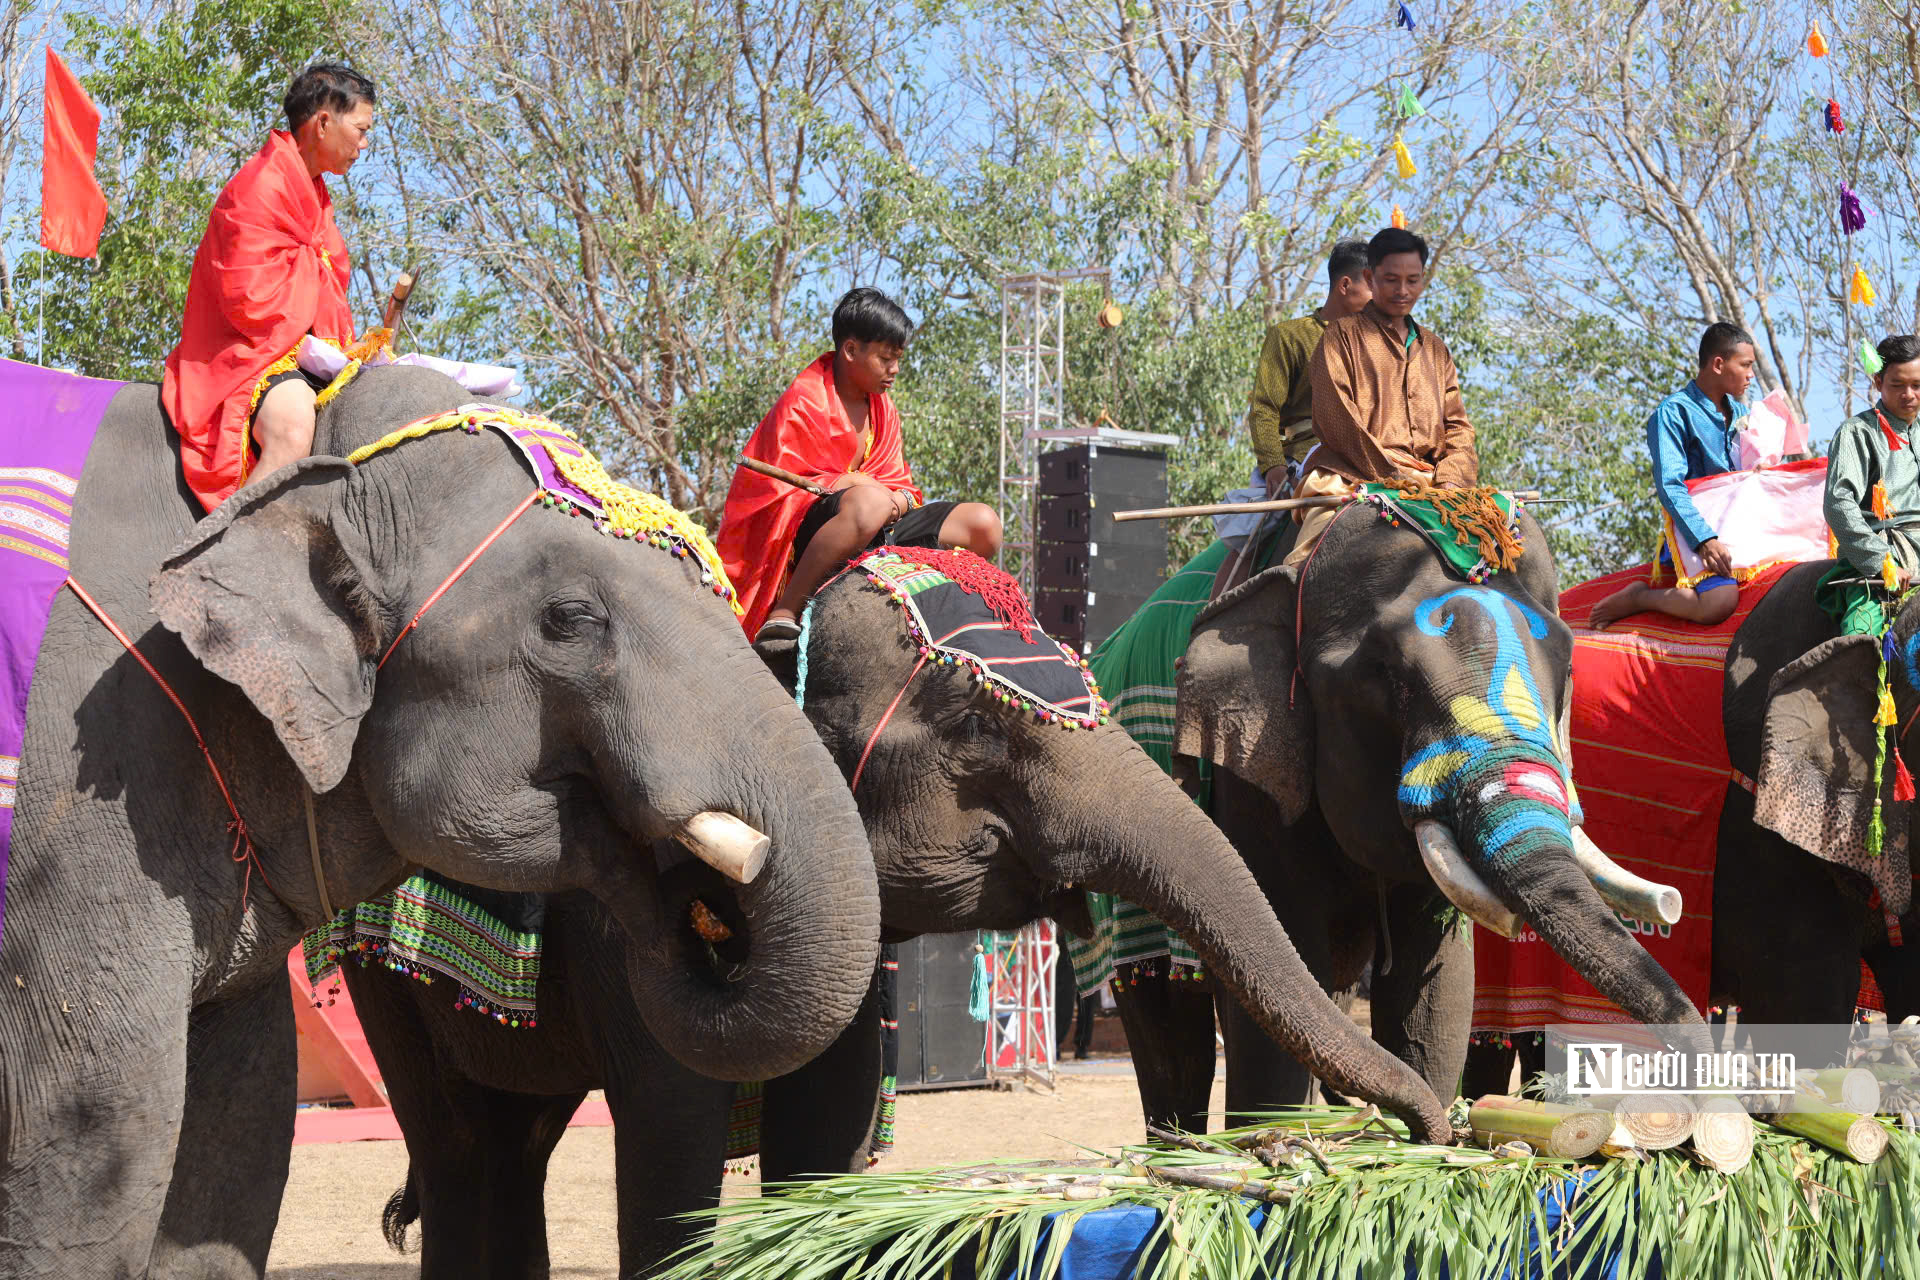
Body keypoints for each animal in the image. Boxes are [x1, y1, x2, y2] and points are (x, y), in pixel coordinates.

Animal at [334, 548, 1451, 1280]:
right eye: (971, 726)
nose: (1428, 1131)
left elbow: (821, 1127)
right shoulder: (620, 913)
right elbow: (671, 1126)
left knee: (516, 1137)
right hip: (372, 961)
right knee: (460, 1144)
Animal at [1121, 506, 1704, 1136]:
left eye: (1568, 670)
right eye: (1386, 675)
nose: (1674, 902)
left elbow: (1437, 992)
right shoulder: (1251, 775)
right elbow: (1278, 963)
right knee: (1166, 1029)